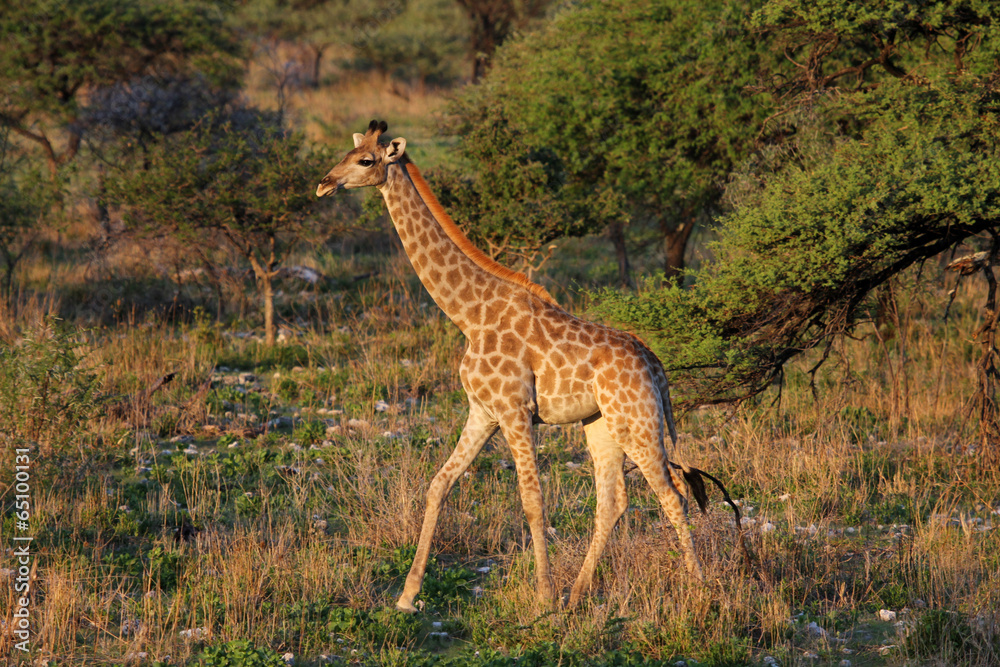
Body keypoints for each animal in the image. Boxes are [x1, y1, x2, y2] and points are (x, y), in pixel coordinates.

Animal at [317, 120, 714, 611]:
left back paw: (702, 591)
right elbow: (439, 485)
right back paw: (578, 593)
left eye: (365, 160)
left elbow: (531, 501)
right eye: (346, 153)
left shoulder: (515, 411)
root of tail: (656, 367)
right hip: (603, 425)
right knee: (614, 501)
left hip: (638, 423)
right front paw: (408, 596)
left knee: (672, 495)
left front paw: (543, 597)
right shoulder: (483, 412)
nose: (324, 184)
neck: (469, 314)